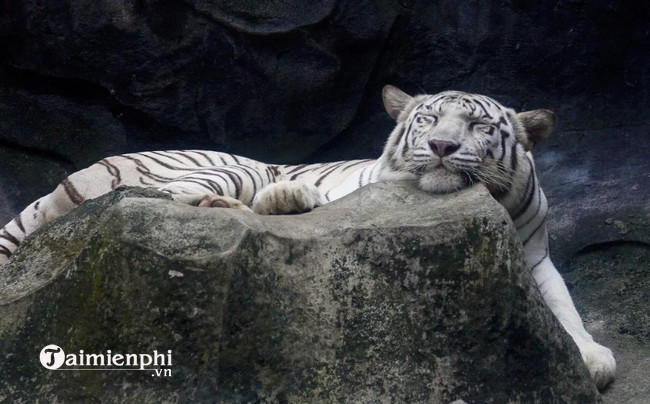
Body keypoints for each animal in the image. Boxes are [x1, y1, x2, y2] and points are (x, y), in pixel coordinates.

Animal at [0, 85, 615, 390]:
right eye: (426, 120)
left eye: (480, 126)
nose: (441, 147)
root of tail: (76, 174)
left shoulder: (534, 255)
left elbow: (564, 306)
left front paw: (591, 359)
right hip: (225, 166)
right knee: (160, 199)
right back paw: (283, 198)